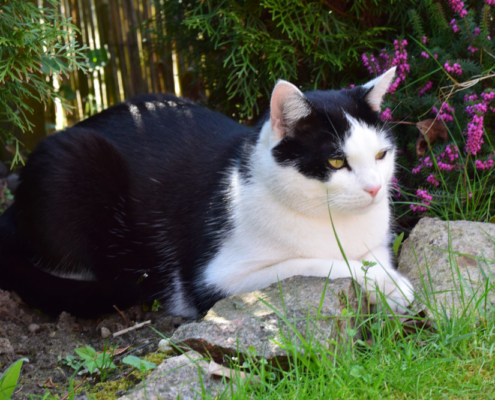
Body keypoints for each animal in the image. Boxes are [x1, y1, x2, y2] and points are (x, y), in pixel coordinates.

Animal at [0, 67, 414, 318]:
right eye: (335, 162)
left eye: (381, 154)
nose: (375, 188)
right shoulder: (218, 278)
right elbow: (323, 262)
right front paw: (393, 286)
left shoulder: (378, 242)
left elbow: (373, 258)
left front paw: (389, 283)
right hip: (76, 159)